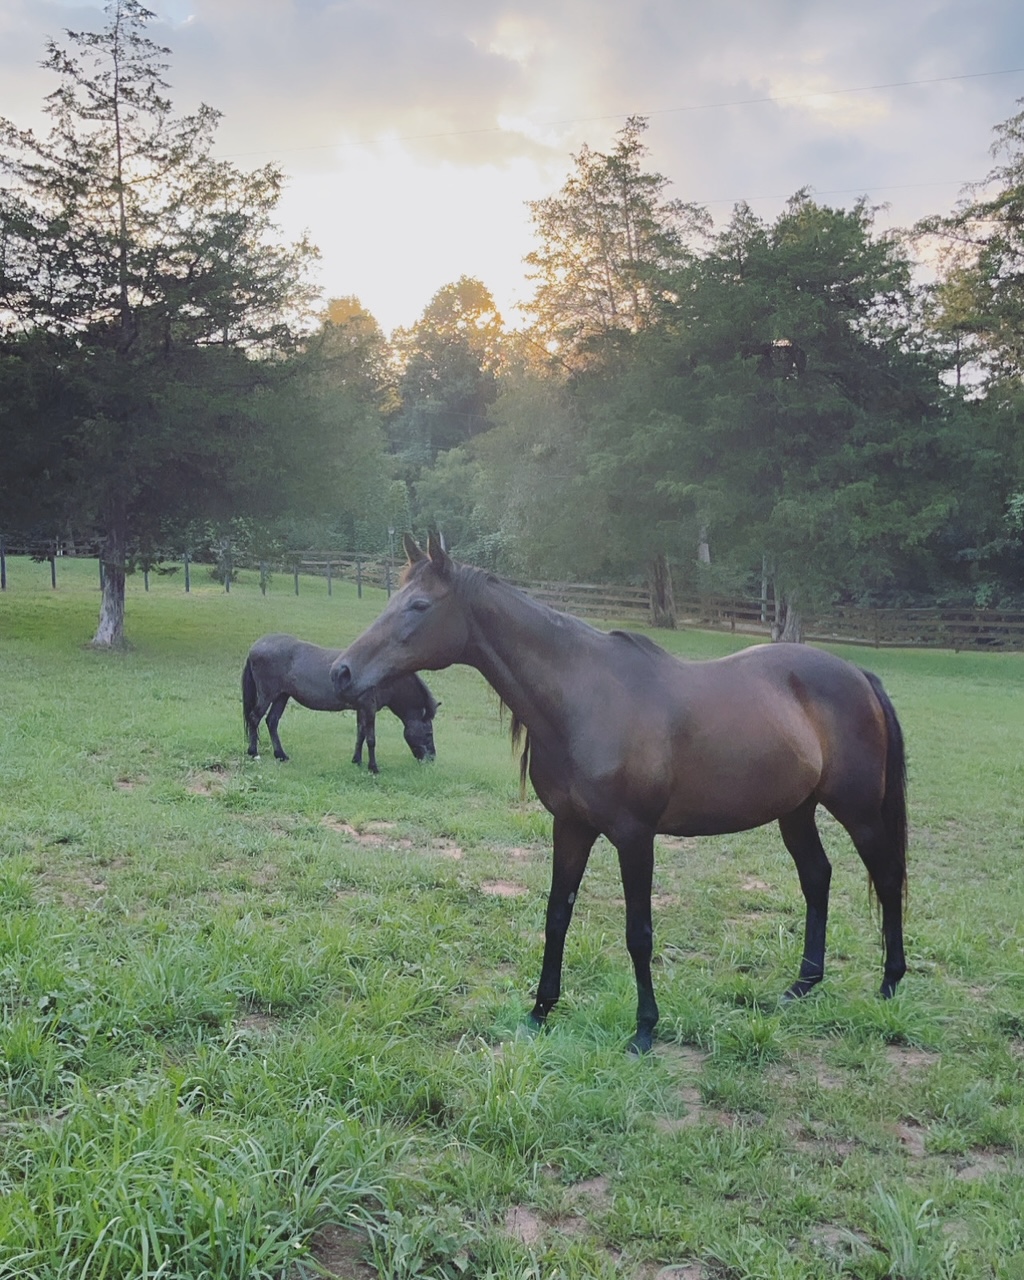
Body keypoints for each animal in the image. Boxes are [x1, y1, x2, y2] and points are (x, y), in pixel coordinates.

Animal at [243, 634, 435, 773]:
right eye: (429, 733)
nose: (432, 759)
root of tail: (256, 646)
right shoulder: (369, 708)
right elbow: (371, 739)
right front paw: (373, 768)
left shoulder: (361, 709)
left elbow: (360, 735)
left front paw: (357, 760)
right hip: (268, 694)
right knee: (254, 718)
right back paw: (254, 753)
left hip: (282, 696)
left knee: (272, 721)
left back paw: (281, 755)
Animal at [332, 535, 906, 1054]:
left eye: (420, 606)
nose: (341, 672)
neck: (584, 699)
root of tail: (859, 675)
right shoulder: (570, 827)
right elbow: (556, 915)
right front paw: (540, 1011)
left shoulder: (635, 837)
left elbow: (639, 932)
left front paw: (645, 1029)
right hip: (795, 811)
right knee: (817, 877)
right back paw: (803, 984)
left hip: (857, 812)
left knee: (885, 876)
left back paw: (890, 981)